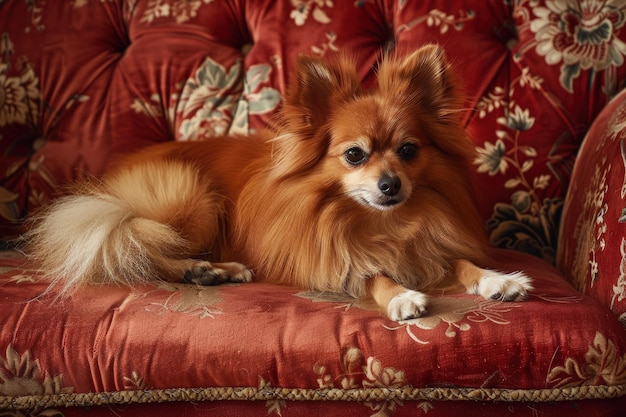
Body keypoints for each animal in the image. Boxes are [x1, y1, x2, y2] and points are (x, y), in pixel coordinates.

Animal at [25, 44, 532, 318]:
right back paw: (206, 269)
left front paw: (495, 279)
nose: (390, 185)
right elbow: (373, 274)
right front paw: (402, 296)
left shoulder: (430, 248)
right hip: (190, 198)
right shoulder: (331, 263)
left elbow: (460, 262)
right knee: (141, 247)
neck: (380, 225)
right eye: (354, 155)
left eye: (408, 151)